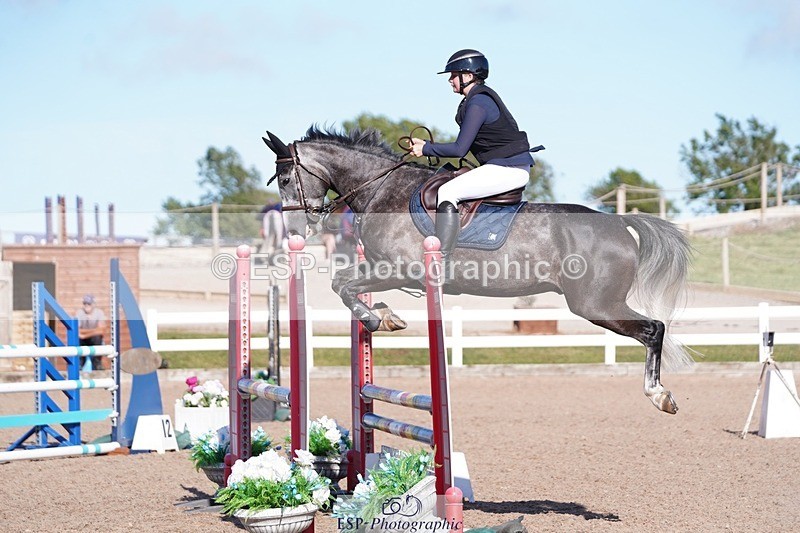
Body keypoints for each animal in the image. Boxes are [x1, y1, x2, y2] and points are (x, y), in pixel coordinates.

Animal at [262, 126, 693, 414]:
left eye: (284, 178)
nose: (296, 230)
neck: (381, 188)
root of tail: (620, 222)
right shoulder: (384, 267)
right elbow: (349, 284)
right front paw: (385, 315)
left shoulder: (400, 268)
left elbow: (342, 284)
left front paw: (374, 319)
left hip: (596, 305)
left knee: (654, 329)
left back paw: (660, 395)